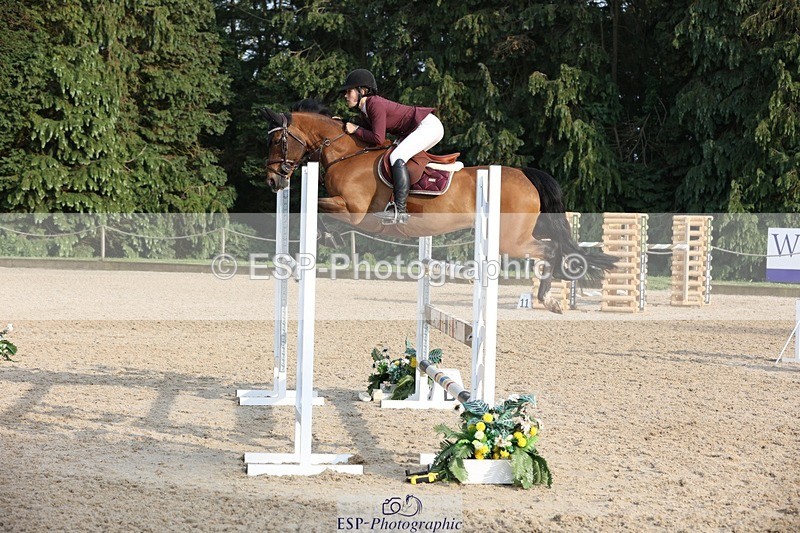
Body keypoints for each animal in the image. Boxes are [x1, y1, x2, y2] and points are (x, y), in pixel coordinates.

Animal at [261, 100, 617, 313]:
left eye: (277, 140)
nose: (273, 181)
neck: (347, 154)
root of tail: (525, 175)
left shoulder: (355, 210)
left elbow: (318, 208)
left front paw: (326, 240)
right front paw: (321, 243)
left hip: (510, 239)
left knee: (549, 249)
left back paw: (548, 299)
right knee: (558, 244)